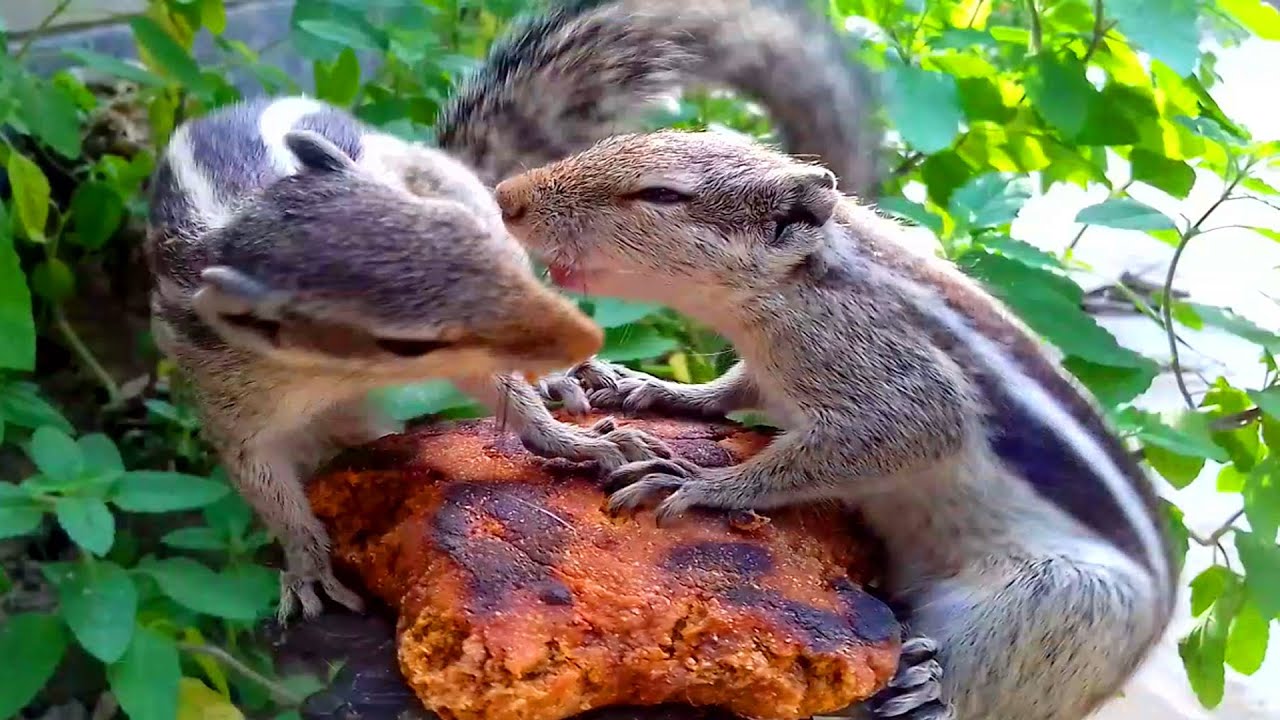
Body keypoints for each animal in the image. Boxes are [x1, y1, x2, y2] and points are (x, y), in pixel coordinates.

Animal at [144, 0, 873, 621]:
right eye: (404, 341)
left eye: (462, 235)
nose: (578, 341)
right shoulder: (232, 398)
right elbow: (265, 486)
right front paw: (305, 562)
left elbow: (521, 413)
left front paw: (582, 442)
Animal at [493, 131, 1178, 719]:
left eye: (661, 195)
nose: (505, 197)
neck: (801, 281)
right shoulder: (769, 371)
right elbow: (731, 390)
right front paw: (650, 387)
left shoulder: (900, 389)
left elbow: (895, 434)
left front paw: (698, 482)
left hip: (1057, 609)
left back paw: (930, 691)